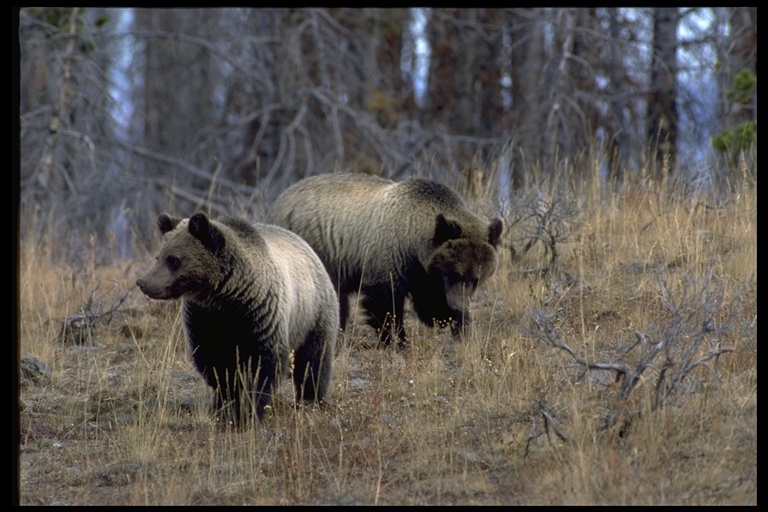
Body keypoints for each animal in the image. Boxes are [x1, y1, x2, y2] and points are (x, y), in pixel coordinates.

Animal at [136, 210, 340, 426]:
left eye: (173, 259)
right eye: (158, 256)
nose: (143, 282)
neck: (226, 296)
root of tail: (306, 245)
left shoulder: (260, 314)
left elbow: (263, 363)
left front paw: (249, 411)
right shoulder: (204, 319)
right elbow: (216, 365)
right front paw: (225, 405)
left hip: (313, 313)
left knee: (314, 359)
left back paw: (310, 399)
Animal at [270, 173, 504, 348]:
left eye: (476, 278)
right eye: (455, 272)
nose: (458, 305)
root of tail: (281, 198)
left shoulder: (423, 272)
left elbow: (429, 301)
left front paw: (457, 325)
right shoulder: (388, 257)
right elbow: (385, 303)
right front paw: (398, 341)